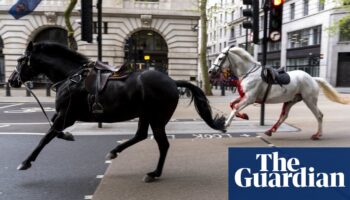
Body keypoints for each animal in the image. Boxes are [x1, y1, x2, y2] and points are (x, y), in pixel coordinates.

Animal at [8, 41, 227, 182]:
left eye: (20, 60)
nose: (11, 80)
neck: (71, 77)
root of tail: (173, 82)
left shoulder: (67, 116)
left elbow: (46, 136)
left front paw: (26, 162)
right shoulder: (63, 115)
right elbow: (53, 130)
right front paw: (68, 136)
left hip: (157, 118)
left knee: (163, 144)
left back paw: (154, 173)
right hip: (145, 115)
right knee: (140, 135)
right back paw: (115, 151)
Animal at [208, 46, 350, 140]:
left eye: (220, 58)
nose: (210, 71)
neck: (249, 73)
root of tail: (313, 78)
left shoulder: (250, 98)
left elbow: (235, 108)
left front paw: (226, 124)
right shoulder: (245, 97)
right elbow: (232, 105)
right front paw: (244, 116)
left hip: (309, 100)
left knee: (319, 115)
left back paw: (317, 135)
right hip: (291, 100)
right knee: (284, 116)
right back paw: (270, 130)